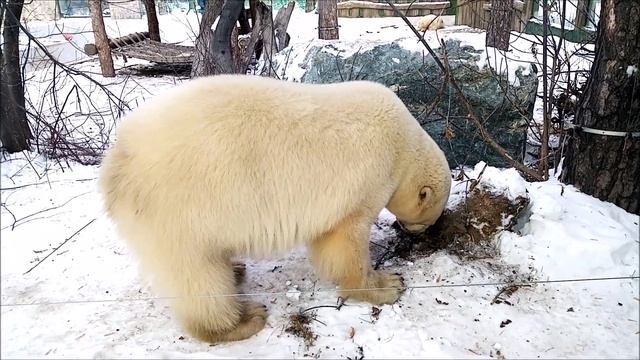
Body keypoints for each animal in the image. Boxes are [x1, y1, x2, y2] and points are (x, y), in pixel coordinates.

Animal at [99, 74, 450, 344]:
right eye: (429, 216)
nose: (415, 232)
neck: (404, 143)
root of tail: (116, 162)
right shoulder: (367, 178)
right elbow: (344, 241)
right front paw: (387, 284)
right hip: (179, 209)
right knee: (197, 275)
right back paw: (243, 320)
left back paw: (236, 270)